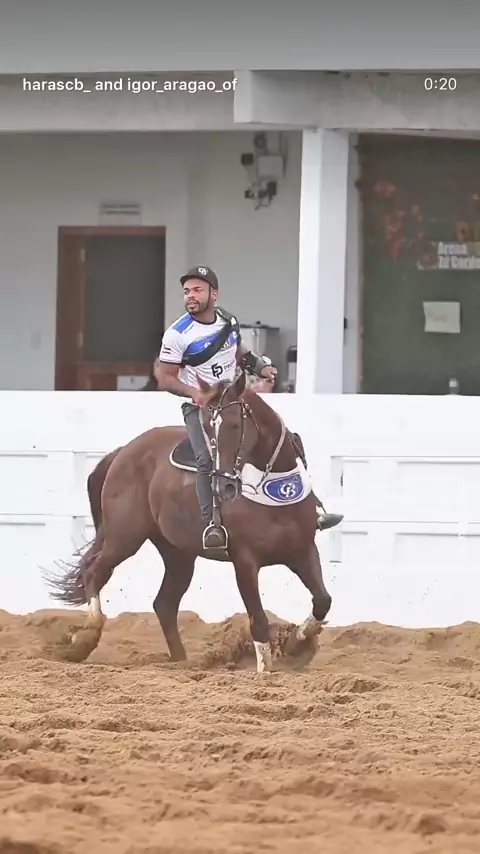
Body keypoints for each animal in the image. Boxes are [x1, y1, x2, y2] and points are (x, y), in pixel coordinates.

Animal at [46, 371, 332, 673]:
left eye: (234, 425)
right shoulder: (244, 561)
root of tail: (122, 452)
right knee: (95, 572)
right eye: (206, 427)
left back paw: (180, 661)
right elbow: (258, 620)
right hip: (124, 538)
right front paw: (265, 669)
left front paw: (297, 643)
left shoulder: (302, 550)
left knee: (164, 604)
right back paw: (85, 638)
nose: (222, 486)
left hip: (178, 554)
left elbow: (323, 600)